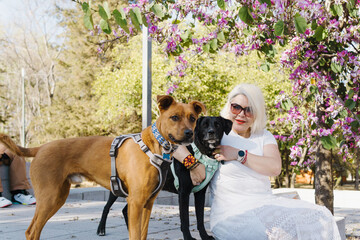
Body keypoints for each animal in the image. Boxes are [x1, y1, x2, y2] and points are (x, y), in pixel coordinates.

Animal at [0, 95, 205, 240]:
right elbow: (135, 235)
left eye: (193, 118)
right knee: (31, 231)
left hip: (58, 197)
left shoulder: (148, 203)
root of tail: (41, 147)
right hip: (49, 197)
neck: (154, 147)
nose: (189, 133)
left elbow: (143, 234)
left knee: (34, 230)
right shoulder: (136, 202)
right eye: (174, 117)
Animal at [96, 116, 231, 238]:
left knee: (126, 210)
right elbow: (185, 220)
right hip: (118, 188)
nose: (211, 132)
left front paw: (204, 236)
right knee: (106, 207)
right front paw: (188, 237)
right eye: (204, 125)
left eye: (218, 124)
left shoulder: (200, 193)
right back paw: (101, 229)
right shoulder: (184, 193)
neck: (201, 153)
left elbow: (200, 219)